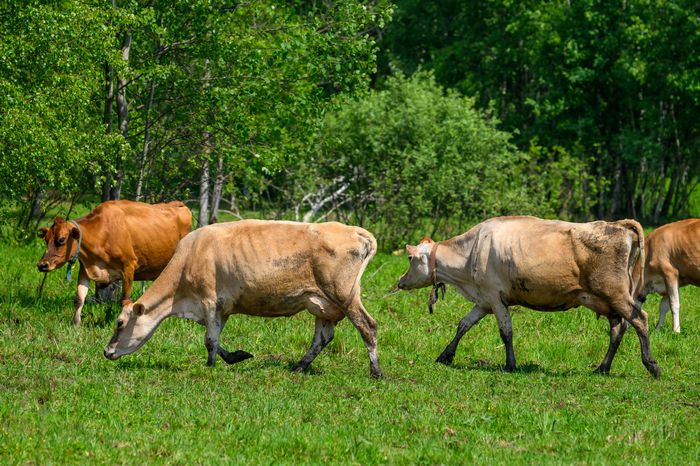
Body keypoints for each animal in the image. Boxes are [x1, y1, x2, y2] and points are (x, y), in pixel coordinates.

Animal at [37, 200, 192, 326]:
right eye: (46, 239)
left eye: (61, 239)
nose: (42, 265)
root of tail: (179, 204)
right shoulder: (85, 269)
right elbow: (79, 298)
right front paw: (75, 324)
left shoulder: (129, 266)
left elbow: (124, 301)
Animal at [103, 220, 382, 378]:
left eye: (119, 323)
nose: (107, 351)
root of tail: (354, 230)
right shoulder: (222, 308)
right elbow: (216, 340)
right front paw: (237, 357)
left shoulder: (209, 301)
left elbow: (209, 341)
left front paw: (209, 367)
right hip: (324, 305)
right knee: (322, 338)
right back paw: (299, 367)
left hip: (344, 296)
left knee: (367, 327)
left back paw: (376, 372)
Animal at [397, 216, 660, 378]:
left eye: (410, 258)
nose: (400, 281)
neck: (472, 251)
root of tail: (619, 225)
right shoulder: (484, 301)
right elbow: (463, 325)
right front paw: (446, 355)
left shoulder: (495, 297)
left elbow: (506, 332)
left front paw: (510, 364)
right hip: (606, 300)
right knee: (618, 328)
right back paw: (602, 368)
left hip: (615, 293)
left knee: (640, 319)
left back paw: (651, 365)